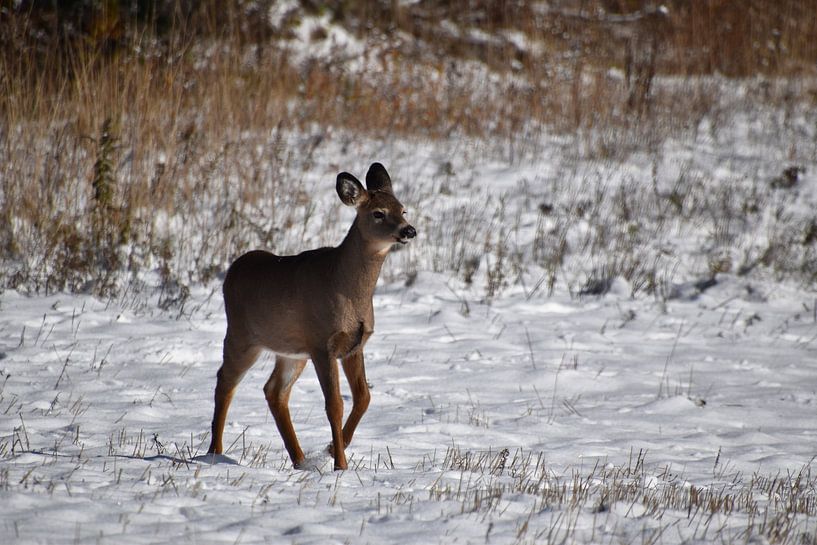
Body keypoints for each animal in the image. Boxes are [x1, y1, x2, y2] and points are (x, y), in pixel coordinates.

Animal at [207, 162, 416, 471]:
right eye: (378, 213)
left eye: (402, 209)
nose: (409, 230)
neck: (343, 285)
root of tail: (232, 270)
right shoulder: (322, 343)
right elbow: (334, 405)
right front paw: (340, 465)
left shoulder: (354, 344)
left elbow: (363, 397)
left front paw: (331, 449)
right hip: (241, 336)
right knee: (225, 382)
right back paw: (214, 453)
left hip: (291, 351)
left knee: (274, 390)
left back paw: (300, 460)